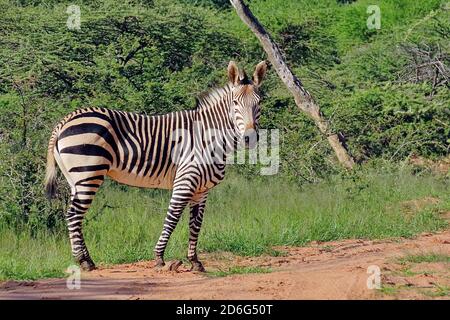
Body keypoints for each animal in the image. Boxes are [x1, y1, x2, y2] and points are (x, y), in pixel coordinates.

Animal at [44, 61, 268, 272]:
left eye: (259, 103)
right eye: (235, 103)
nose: (250, 138)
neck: (208, 136)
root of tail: (64, 121)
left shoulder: (202, 190)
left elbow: (195, 224)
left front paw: (195, 261)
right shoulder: (185, 180)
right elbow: (173, 217)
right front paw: (159, 258)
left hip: (75, 179)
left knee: (73, 214)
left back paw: (85, 259)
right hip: (88, 173)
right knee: (74, 215)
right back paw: (85, 262)